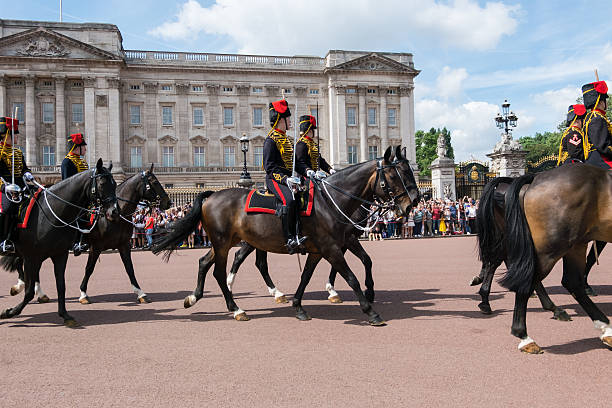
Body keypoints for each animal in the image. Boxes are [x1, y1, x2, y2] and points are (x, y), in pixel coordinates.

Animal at [0, 158, 118, 326]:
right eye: (102, 183)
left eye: (115, 184)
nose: (114, 212)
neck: (49, 213)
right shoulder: (31, 257)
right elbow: (29, 291)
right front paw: (10, 312)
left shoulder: (59, 255)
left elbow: (61, 285)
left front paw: (65, 315)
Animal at [8, 165, 172, 302]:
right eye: (155, 182)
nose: (169, 202)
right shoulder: (96, 246)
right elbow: (89, 268)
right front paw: (83, 293)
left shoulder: (124, 245)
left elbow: (129, 268)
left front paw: (140, 293)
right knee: (25, 263)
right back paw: (23, 286)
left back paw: (33, 290)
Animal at [153, 147, 420, 326]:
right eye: (394, 175)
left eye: (409, 172)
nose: (413, 202)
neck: (331, 201)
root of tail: (211, 194)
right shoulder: (332, 247)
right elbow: (351, 277)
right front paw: (370, 310)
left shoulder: (322, 249)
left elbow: (308, 276)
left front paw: (299, 305)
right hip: (224, 242)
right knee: (220, 270)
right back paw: (236, 307)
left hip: (228, 242)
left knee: (205, 263)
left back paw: (194, 297)